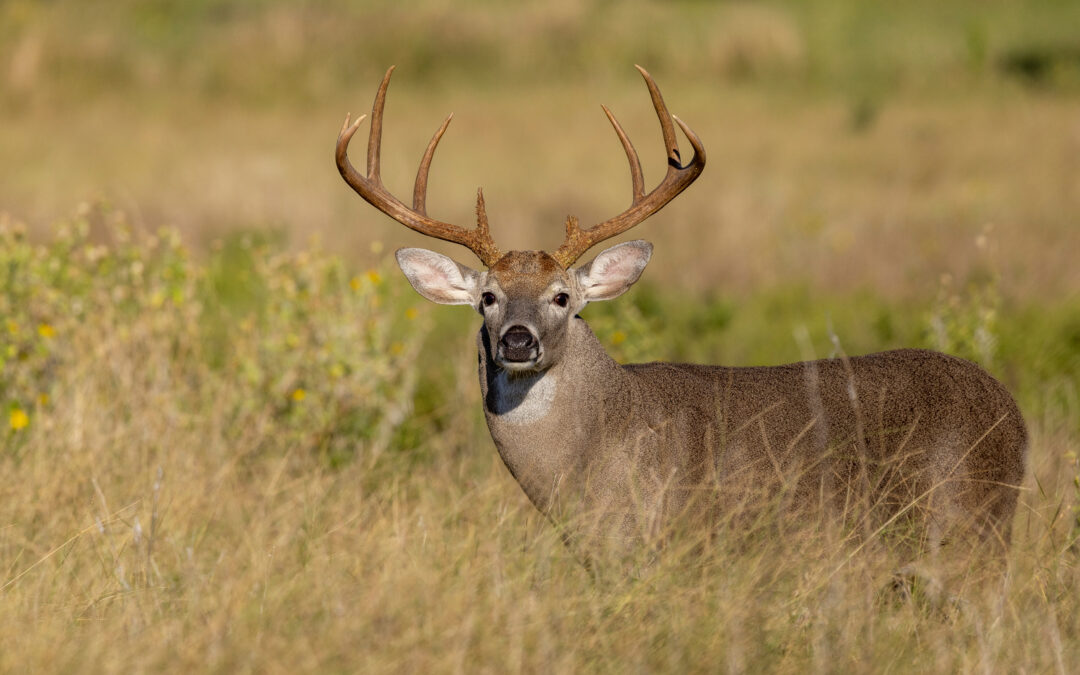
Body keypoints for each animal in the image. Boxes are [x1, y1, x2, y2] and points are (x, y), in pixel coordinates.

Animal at [335, 66, 1027, 570]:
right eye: (488, 297)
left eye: (562, 297)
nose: (518, 339)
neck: (589, 458)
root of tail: (1017, 418)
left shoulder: (666, 543)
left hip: (968, 523)